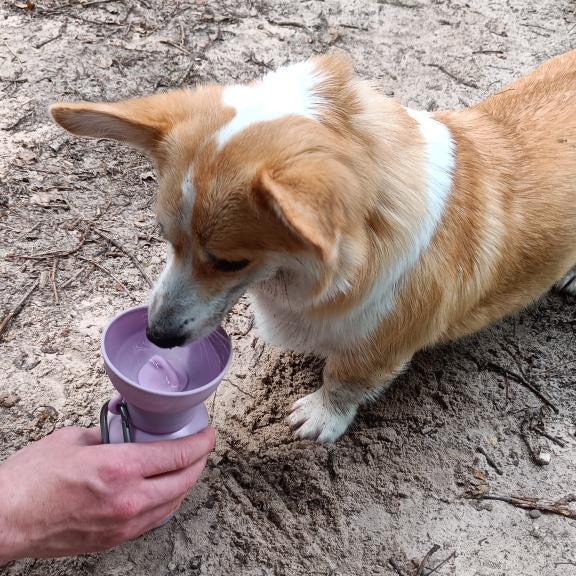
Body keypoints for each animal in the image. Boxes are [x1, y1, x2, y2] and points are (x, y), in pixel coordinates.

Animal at [51, 53, 572, 440]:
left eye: (230, 262)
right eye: (166, 239)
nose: (155, 335)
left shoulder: (381, 346)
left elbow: (344, 378)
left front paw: (321, 417)